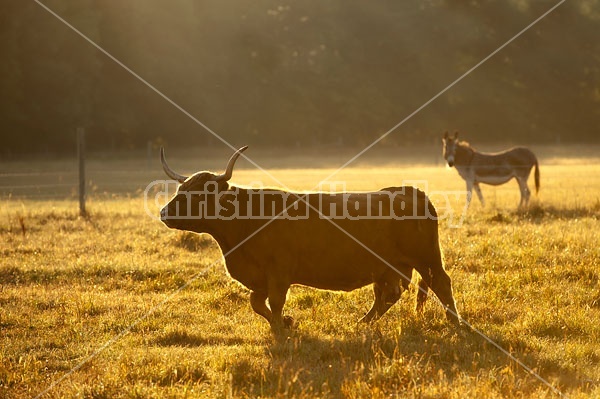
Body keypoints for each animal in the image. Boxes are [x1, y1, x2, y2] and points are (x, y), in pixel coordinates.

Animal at [159, 147, 460, 332]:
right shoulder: (261, 278)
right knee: (387, 295)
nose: (163, 212)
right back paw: (362, 323)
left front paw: (280, 328)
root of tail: (409, 191)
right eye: (181, 190)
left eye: (198, 193)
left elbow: (274, 303)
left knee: (441, 284)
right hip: (389, 267)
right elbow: (257, 303)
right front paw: (286, 323)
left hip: (427, 259)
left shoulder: (278, 274)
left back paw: (455, 323)